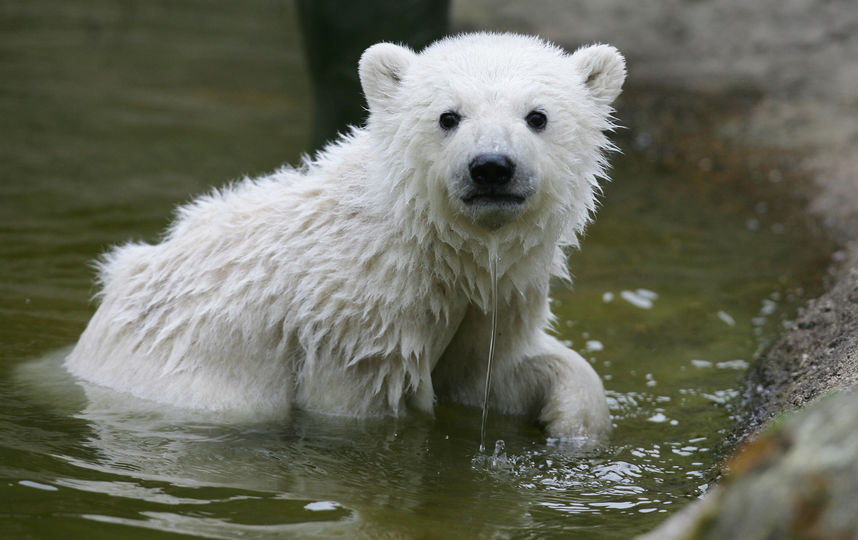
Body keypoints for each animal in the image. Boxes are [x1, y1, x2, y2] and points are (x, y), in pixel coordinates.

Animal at [65, 31, 620, 440]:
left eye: (537, 116)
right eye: (448, 116)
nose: (491, 167)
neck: (427, 242)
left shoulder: (494, 295)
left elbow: (488, 373)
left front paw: (573, 422)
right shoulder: (356, 321)